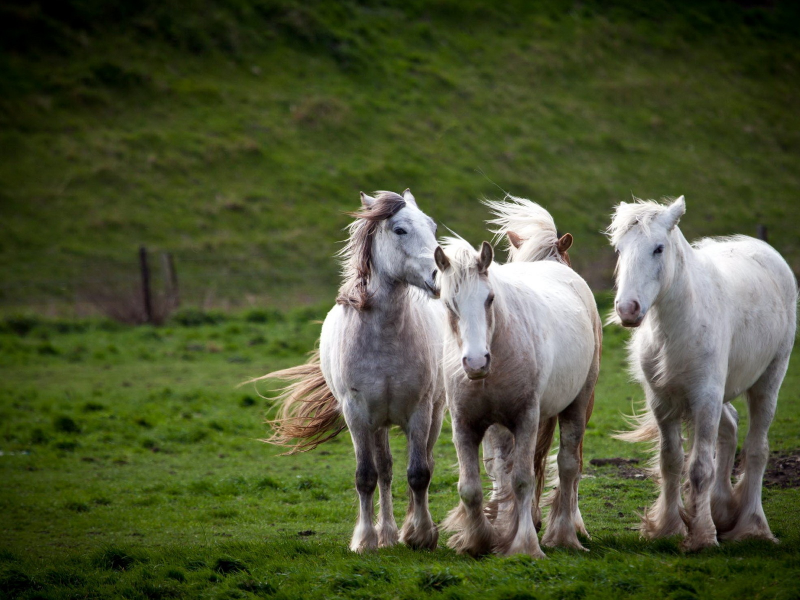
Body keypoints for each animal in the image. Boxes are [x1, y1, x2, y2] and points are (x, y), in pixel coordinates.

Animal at [250, 190, 446, 552]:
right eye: (399, 229)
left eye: (432, 226)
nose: (439, 276)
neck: (384, 337)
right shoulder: (356, 413)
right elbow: (366, 476)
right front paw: (365, 540)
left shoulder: (420, 410)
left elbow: (419, 473)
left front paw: (421, 534)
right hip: (378, 423)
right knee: (385, 471)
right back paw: (386, 534)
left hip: (434, 414)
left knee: (422, 463)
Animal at [438, 233, 600, 556]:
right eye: (449, 303)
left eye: (489, 298)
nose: (476, 362)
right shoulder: (465, 425)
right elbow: (471, 488)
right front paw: (478, 540)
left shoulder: (526, 418)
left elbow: (523, 480)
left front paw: (524, 545)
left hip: (577, 405)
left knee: (567, 465)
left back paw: (563, 535)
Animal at [608, 195, 796, 552]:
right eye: (619, 249)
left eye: (658, 248)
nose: (627, 309)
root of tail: (763, 249)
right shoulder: (663, 403)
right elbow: (671, 462)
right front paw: (669, 528)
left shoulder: (706, 397)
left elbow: (699, 468)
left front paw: (703, 535)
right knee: (730, 429)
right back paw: (722, 509)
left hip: (768, 380)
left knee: (756, 449)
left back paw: (751, 525)